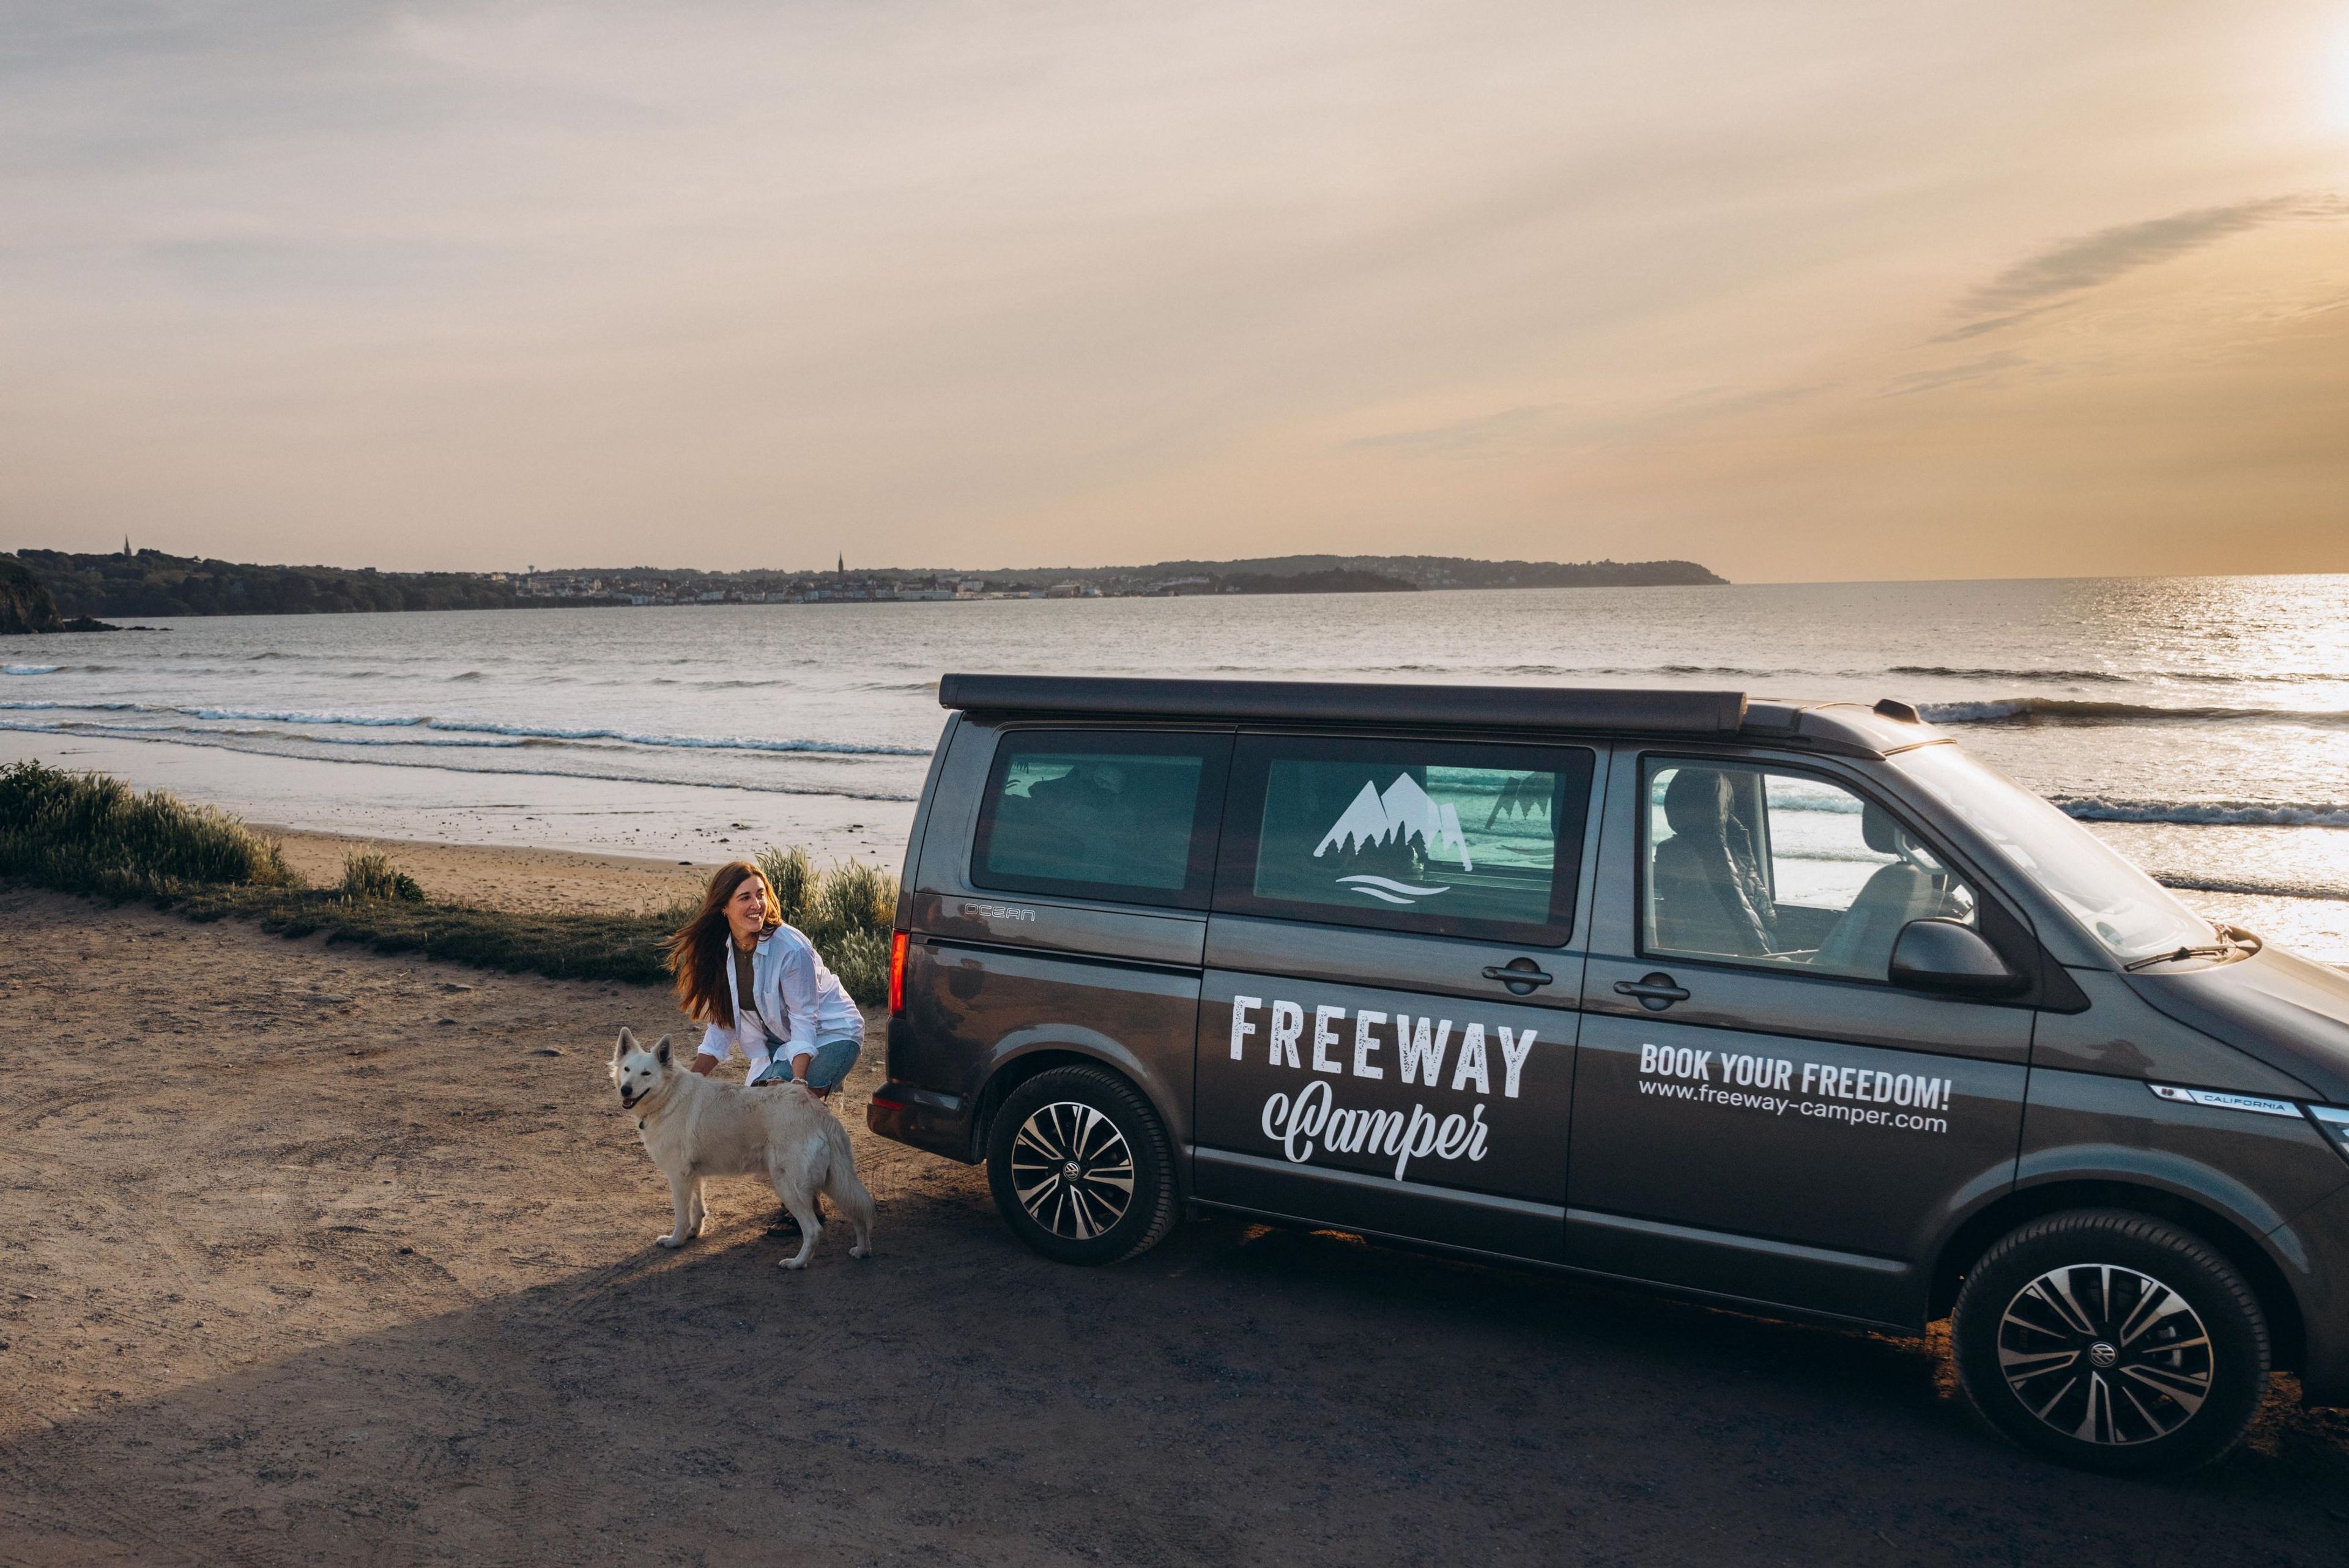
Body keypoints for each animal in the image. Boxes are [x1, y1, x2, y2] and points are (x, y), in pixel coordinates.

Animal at [610, 1028, 878, 1277]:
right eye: (626, 1070)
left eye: (646, 1074)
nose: (625, 1090)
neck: (669, 1097)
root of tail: (819, 1112)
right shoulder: (693, 1175)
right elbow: (698, 1208)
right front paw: (694, 1233)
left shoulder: (679, 1177)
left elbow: (681, 1215)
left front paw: (676, 1241)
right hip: (836, 1182)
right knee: (859, 1213)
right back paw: (862, 1250)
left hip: (788, 1186)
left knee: (814, 1230)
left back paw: (796, 1263)